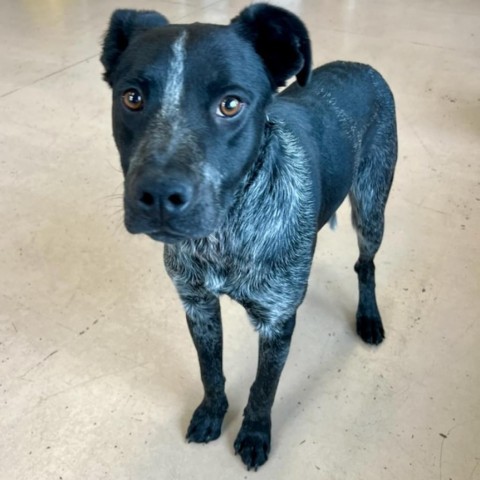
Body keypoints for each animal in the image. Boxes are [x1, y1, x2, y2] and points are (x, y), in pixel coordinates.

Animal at [100, 1, 398, 470]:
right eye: (132, 98)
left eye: (231, 104)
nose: (159, 196)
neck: (224, 237)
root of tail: (364, 67)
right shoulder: (198, 305)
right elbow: (210, 370)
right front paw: (212, 413)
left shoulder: (276, 322)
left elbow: (263, 388)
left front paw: (254, 434)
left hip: (371, 209)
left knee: (364, 264)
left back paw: (368, 317)